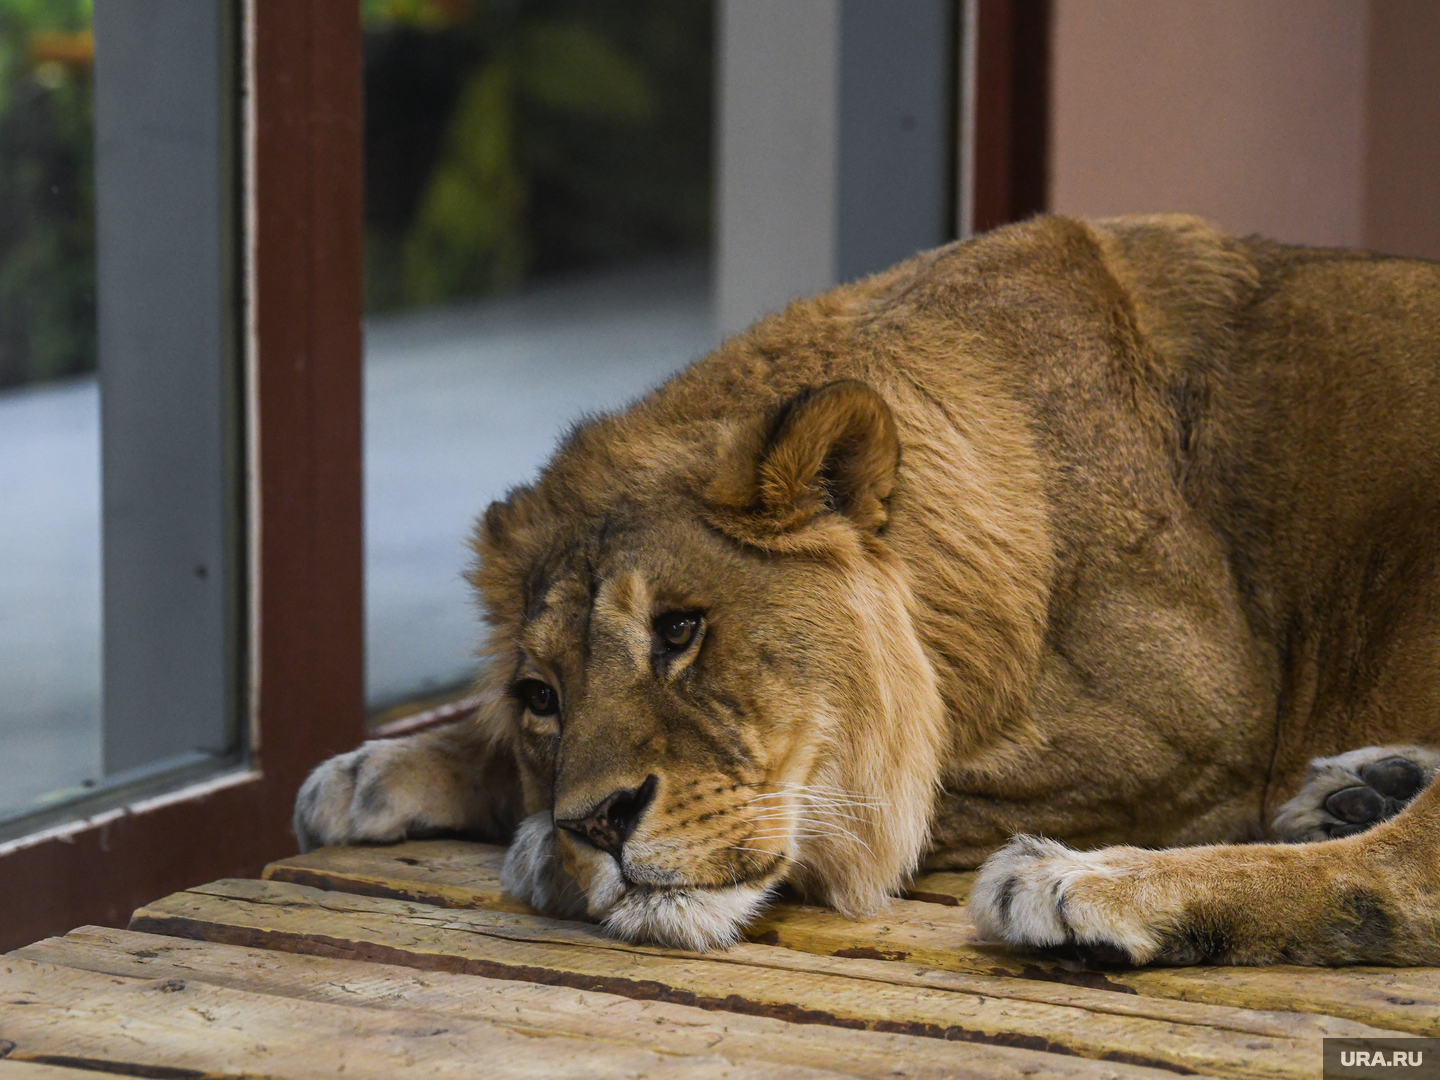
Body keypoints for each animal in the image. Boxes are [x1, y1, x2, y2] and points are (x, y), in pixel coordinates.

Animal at [292, 216, 1440, 967]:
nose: (598, 826)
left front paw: (538, 849)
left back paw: (1084, 885)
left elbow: (886, 806)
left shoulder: (1201, 744)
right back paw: (1360, 786)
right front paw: (378, 769)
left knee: (1402, 877)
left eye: (681, 629)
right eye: (541, 698)